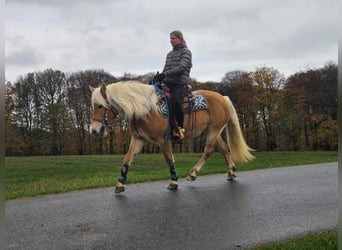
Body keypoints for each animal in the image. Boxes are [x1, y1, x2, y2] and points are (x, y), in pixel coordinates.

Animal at [88, 81, 254, 194]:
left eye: (100, 106)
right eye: (93, 106)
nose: (94, 130)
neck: (146, 110)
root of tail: (223, 98)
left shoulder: (163, 141)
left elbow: (169, 159)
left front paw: (174, 181)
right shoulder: (138, 140)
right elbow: (127, 159)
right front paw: (120, 184)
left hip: (214, 130)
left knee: (209, 150)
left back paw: (193, 173)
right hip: (213, 131)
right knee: (224, 149)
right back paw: (231, 172)